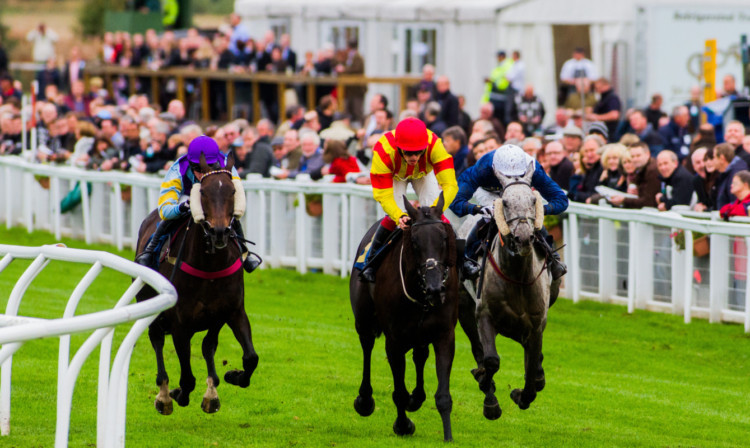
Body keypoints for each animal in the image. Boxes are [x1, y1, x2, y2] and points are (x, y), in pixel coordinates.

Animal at [137, 152, 260, 414]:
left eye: (232, 191)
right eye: (202, 191)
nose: (219, 232)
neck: (210, 266)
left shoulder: (231, 311)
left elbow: (249, 357)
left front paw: (231, 377)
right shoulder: (179, 322)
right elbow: (187, 378)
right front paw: (176, 394)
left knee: (206, 346)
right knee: (156, 338)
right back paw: (164, 394)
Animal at [350, 192, 462, 440]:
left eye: (444, 238)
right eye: (414, 242)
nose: (435, 288)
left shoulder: (444, 335)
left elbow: (443, 395)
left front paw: (448, 436)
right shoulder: (394, 340)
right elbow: (399, 391)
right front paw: (402, 425)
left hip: (420, 334)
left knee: (420, 356)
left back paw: (416, 398)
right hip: (363, 321)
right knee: (366, 347)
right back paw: (365, 400)